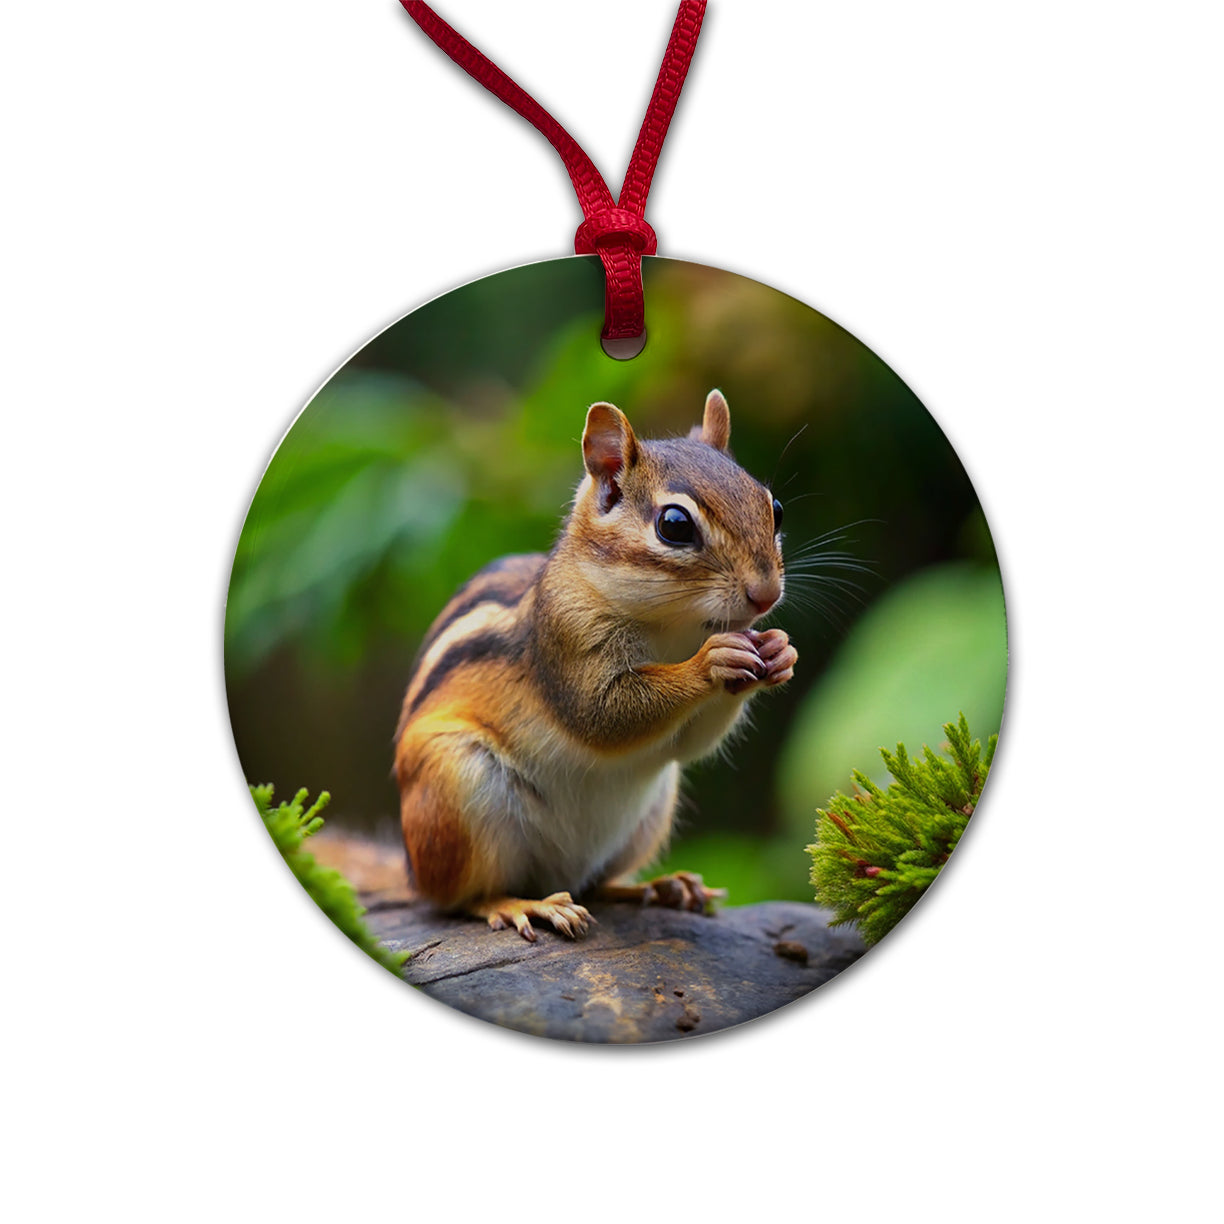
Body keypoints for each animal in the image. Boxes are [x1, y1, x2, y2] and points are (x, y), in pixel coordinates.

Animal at [393, 389, 796, 941]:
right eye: (674, 525)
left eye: (773, 508)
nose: (767, 594)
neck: (674, 627)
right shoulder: (565, 640)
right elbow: (603, 713)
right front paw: (711, 662)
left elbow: (690, 743)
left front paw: (779, 651)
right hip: (455, 788)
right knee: (459, 899)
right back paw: (524, 905)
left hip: (651, 812)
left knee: (597, 884)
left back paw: (661, 887)